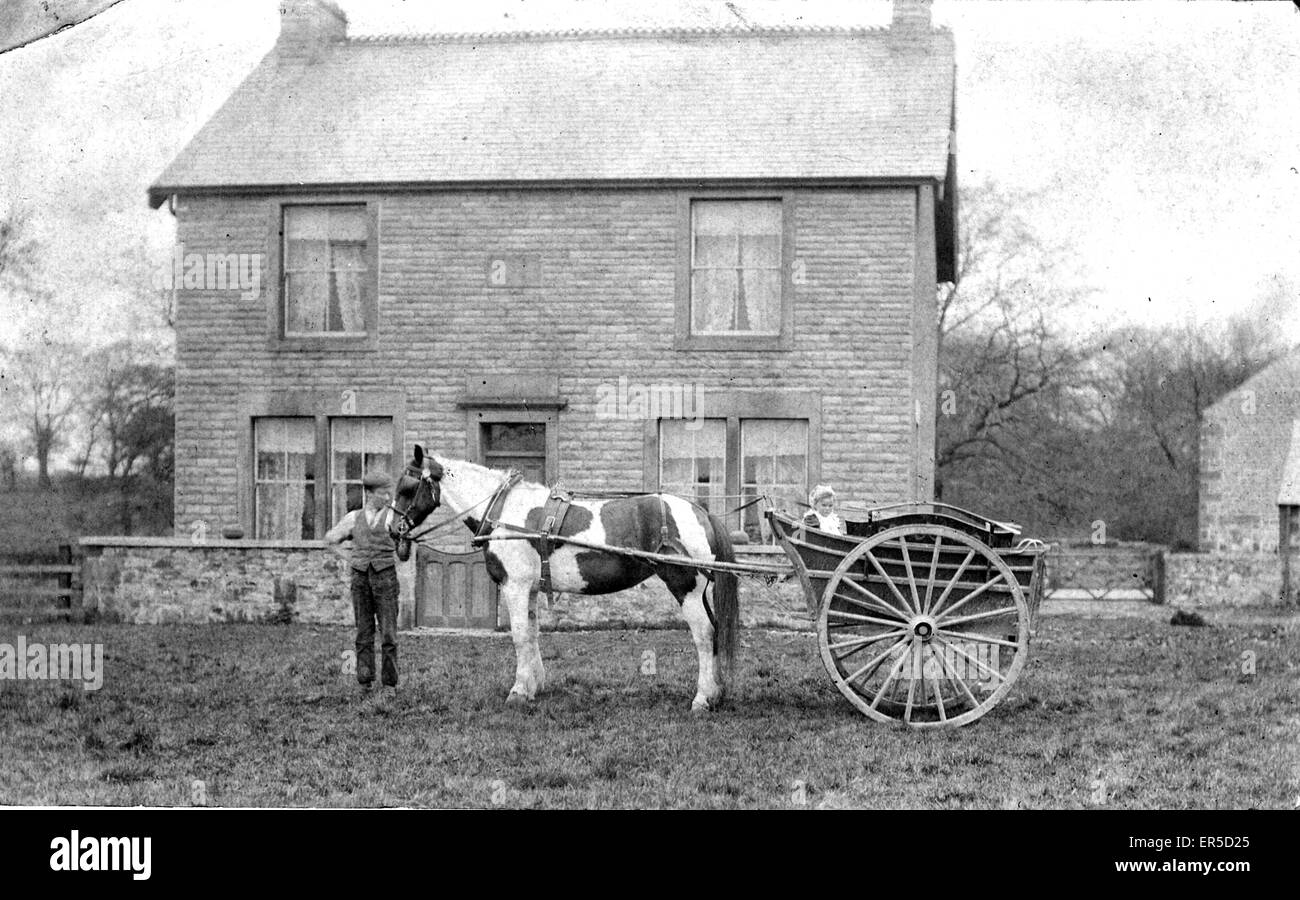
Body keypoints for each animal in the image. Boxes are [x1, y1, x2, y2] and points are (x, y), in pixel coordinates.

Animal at [384, 442, 738, 712]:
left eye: (407, 488)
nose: (390, 528)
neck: (503, 512)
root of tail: (702, 511)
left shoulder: (513, 587)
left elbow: (519, 636)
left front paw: (518, 692)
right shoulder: (528, 589)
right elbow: (532, 634)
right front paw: (534, 686)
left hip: (685, 586)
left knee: (705, 634)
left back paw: (702, 698)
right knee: (715, 631)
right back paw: (717, 693)